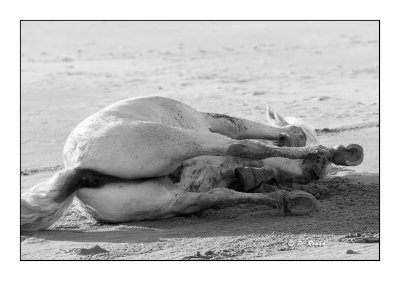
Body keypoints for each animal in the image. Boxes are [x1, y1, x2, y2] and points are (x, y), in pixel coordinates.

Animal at [22, 95, 366, 231]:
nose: (314, 172)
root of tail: (77, 170)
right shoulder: (218, 123)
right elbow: (256, 133)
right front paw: (319, 149)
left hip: (169, 200)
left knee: (216, 196)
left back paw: (289, 200)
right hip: (180, 140)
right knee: (244, 146)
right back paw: (339, 154)